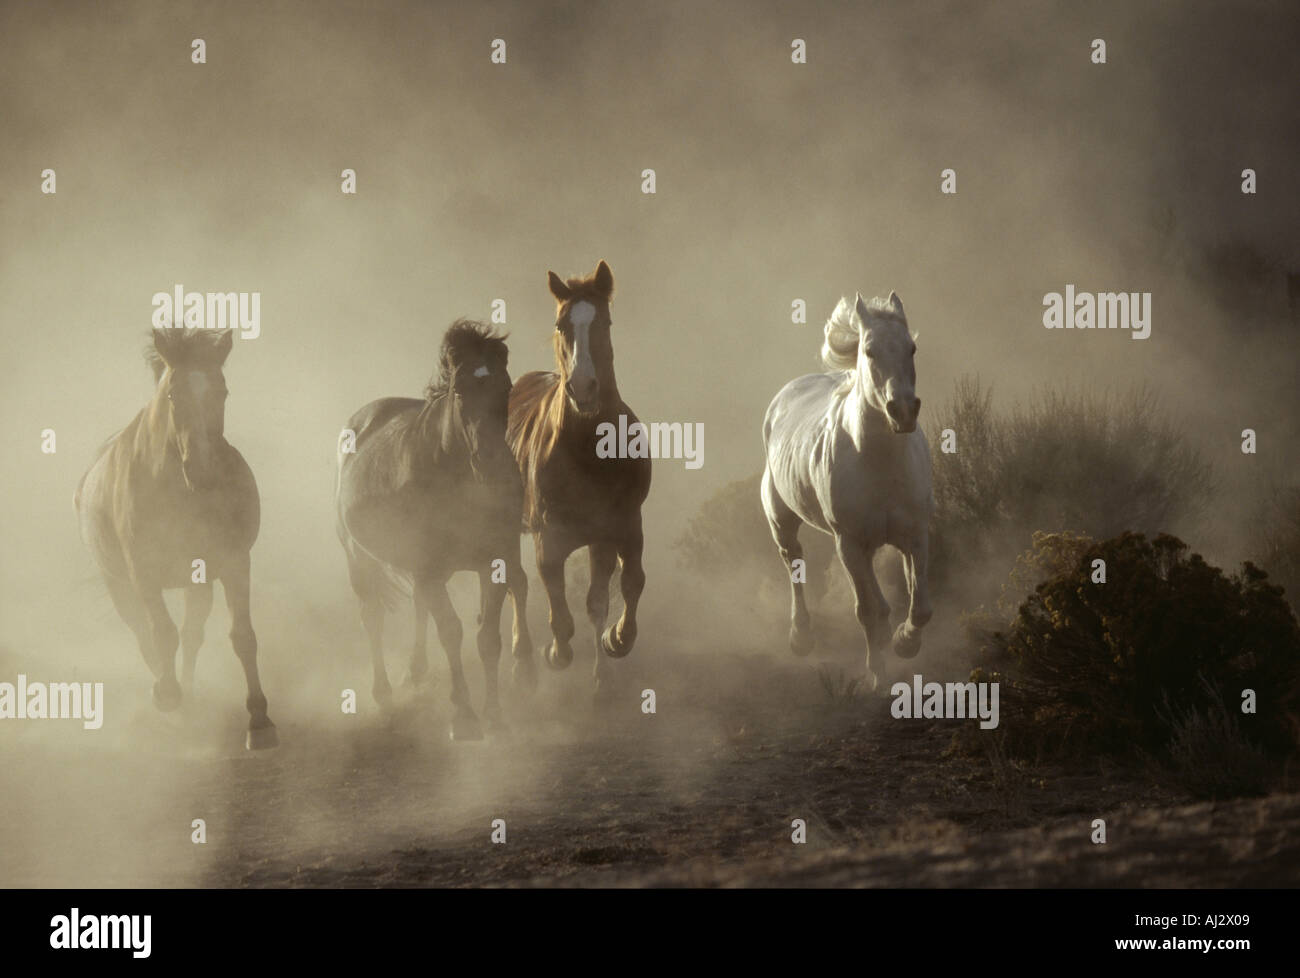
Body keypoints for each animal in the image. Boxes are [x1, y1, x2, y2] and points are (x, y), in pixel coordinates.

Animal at [75, 329, 276, 749]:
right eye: (172, 394)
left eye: (223, 390)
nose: (202, 470)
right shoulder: (143, 572)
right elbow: (162, 635)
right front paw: (167, 696)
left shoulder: (234, 562)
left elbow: (242, 637)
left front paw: (260, 719)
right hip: (118, 584)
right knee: (144, 635)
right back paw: (171, 697)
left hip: (197, 583)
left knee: (192, 634)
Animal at [340, 317, 538, 738]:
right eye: (460, 390)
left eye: (506, 387)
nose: (491, 463)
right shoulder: (428, 567)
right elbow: (451, 632)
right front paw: (463, 715)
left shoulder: (491, 562)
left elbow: (487, 638)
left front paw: (494, 714)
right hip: (358, 557)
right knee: (373, 618)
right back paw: (384, 694)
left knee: (420, 605)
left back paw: (416, 673)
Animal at [506, 260, 650, 697]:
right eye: (561, 325)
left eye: (604, 321)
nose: (583, 387)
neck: (589, 450)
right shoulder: (548, 538)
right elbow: (560, 612)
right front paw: (556, 653)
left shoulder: (622, 526)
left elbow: (623, 587)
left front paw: (616, 641)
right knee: (515, 583)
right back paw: (524, 663)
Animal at [759, 293, 935, 691]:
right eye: (869, 351)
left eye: (912, 347)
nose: (903, 411)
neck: (879, 463)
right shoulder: (849, 543)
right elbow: (866, 611)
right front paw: (878, 674)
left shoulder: (916, 534)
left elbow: (919, 605)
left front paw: (904, 642)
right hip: (783, 522)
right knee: (793, 561)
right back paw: (801, 637)